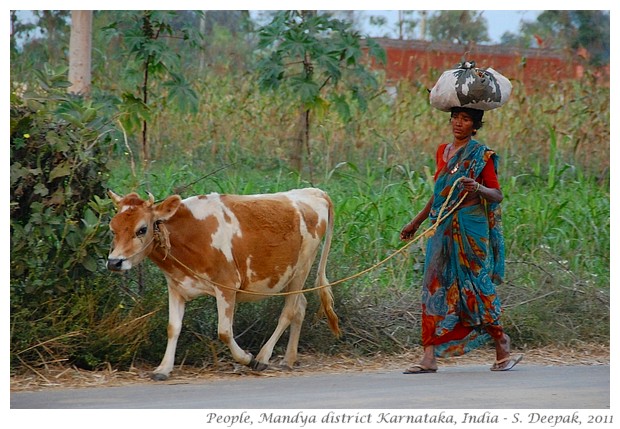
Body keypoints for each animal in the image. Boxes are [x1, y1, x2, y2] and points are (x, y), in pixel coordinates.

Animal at [106, 186, 340, 380]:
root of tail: (313, 191)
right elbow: (173, 328)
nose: (114, 262)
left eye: (142, 229)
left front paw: (247, 358)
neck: (190, 234)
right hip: (293, 275)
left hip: (302, 267)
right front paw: (163, 368)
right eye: (112, 228)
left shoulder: (227, 285)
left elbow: (224, 331)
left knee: (289, 310)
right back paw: (288, 359)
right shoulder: (176, 286)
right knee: (300, 306)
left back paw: (263, 357)